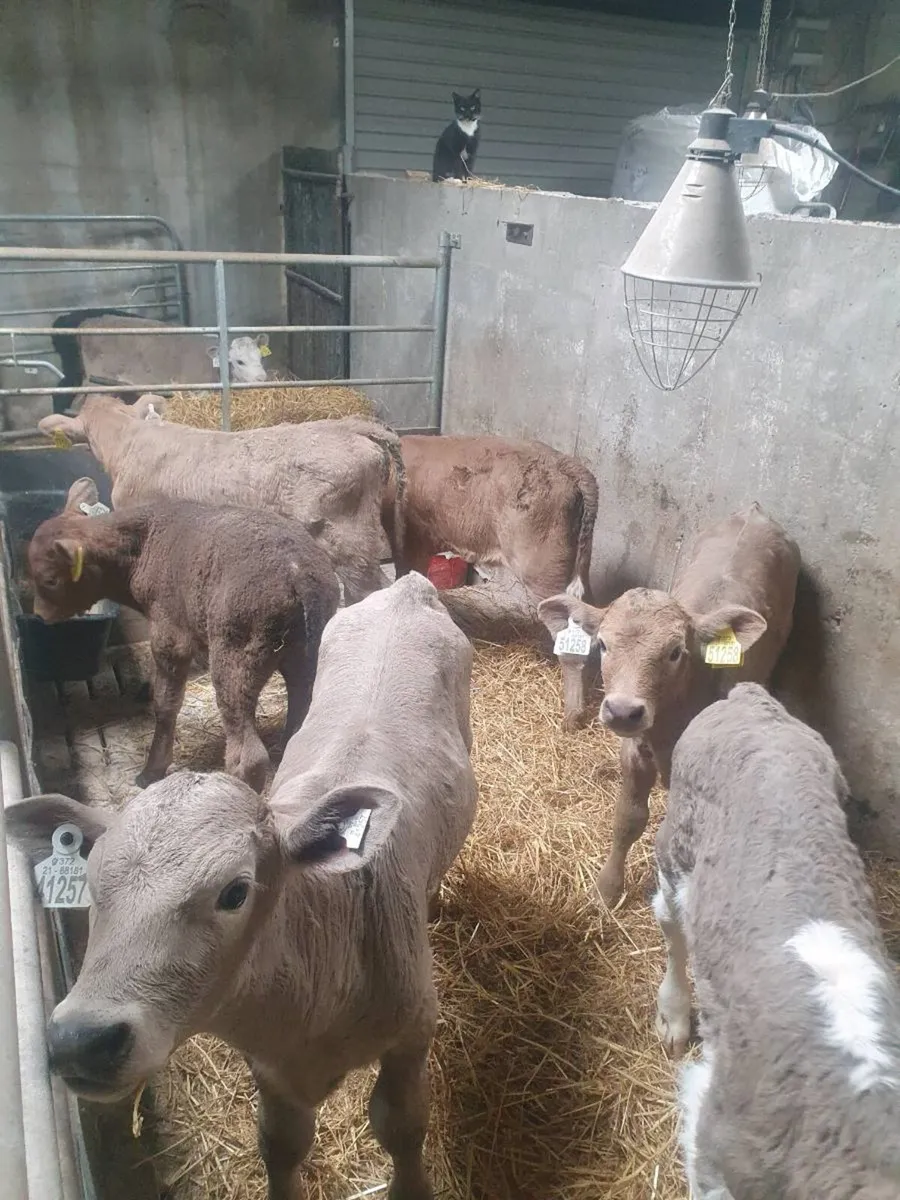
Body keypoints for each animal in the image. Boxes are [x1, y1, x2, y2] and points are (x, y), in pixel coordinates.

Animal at [6, 572, 478, 1200]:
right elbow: (281, 1143)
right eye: (90, 881)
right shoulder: (268, 1065)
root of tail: (406, 586)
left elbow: (401, 1127)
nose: (82, 1040)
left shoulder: (413, 1033)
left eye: (235, 892)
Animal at [27, 477, 341, 791]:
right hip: (302, 653)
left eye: (50, 580)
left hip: (236, 653)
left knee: (249, 754)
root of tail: (298, 573)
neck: (142, 548)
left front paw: (151, 771)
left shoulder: (170, 636)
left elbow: (165, 704)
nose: (40, 615)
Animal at [538, 503, 800, 905]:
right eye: (603, 644)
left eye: (675, 651)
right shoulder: (634, 751)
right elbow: (628, 818)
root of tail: (754, 512)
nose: (623, 711)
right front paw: (606, 890)